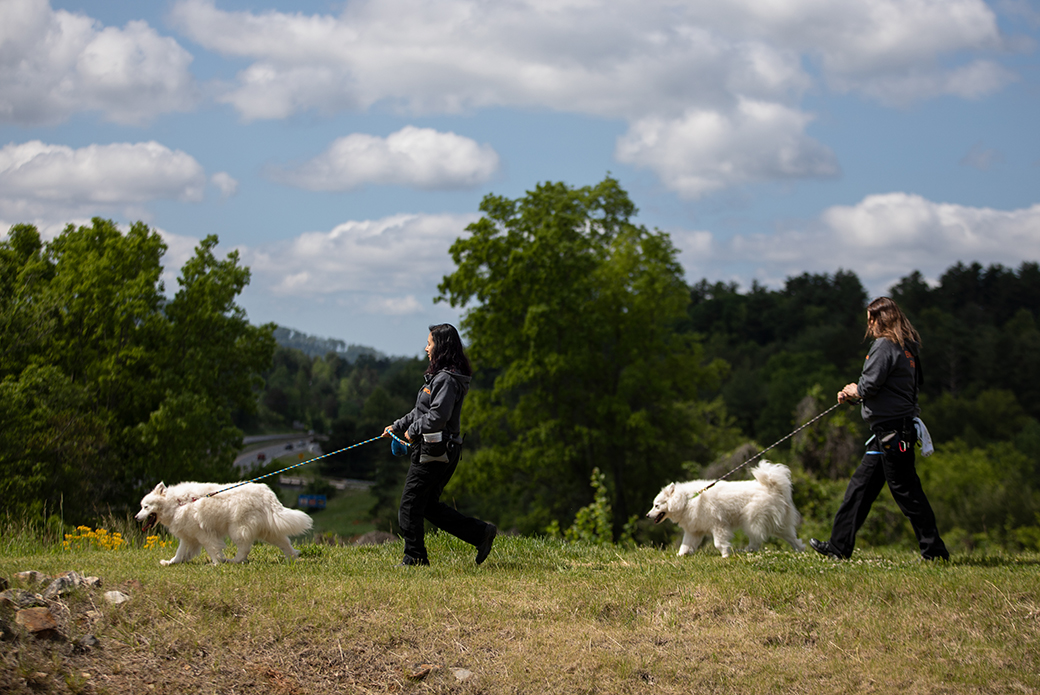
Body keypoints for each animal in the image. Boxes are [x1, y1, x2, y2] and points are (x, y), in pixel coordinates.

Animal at [135, 480, 312, 565]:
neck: (177, 503)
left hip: (238, 529)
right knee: (285, 543)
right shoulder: (188, 538)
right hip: (268, 531)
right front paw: (169, 563)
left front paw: (216, 564)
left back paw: (234, 561)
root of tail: (267, 494)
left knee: (244, 549)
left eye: (146, 507)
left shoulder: (205, 534)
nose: (136, 517)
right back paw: (292, 557)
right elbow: (179, 554)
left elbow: (213, 550)